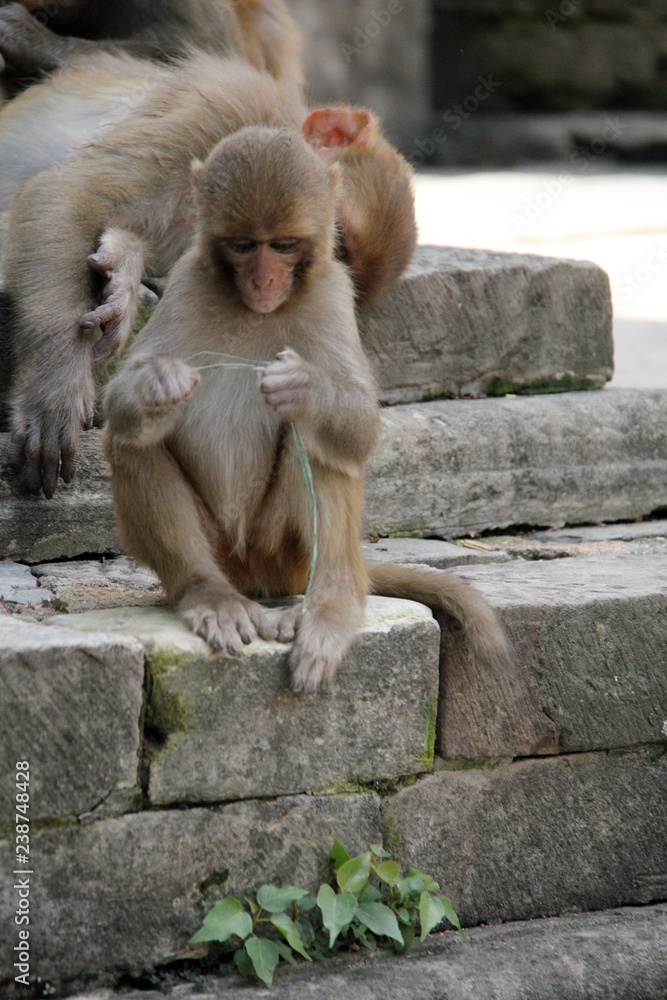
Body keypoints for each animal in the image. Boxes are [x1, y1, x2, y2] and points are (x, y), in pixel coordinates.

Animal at [1, 54, 416, 498]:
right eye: (331, 236)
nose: (270, 284)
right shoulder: (218, 108)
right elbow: (64, 194)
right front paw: (54, 390)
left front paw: (124, 270)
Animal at [103, 125, 513, 695]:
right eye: (243, 245)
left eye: (283, 245)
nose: (262, 281)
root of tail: (258, 575)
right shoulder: (186, 281)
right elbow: (121, 399)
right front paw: (154, 384)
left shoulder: (335, 292)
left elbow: (359, 426)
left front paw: (305, 387)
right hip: (227, 554)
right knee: (134, 440)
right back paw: (207, 594)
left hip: (285, 553)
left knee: (323, 446)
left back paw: (332, 604)